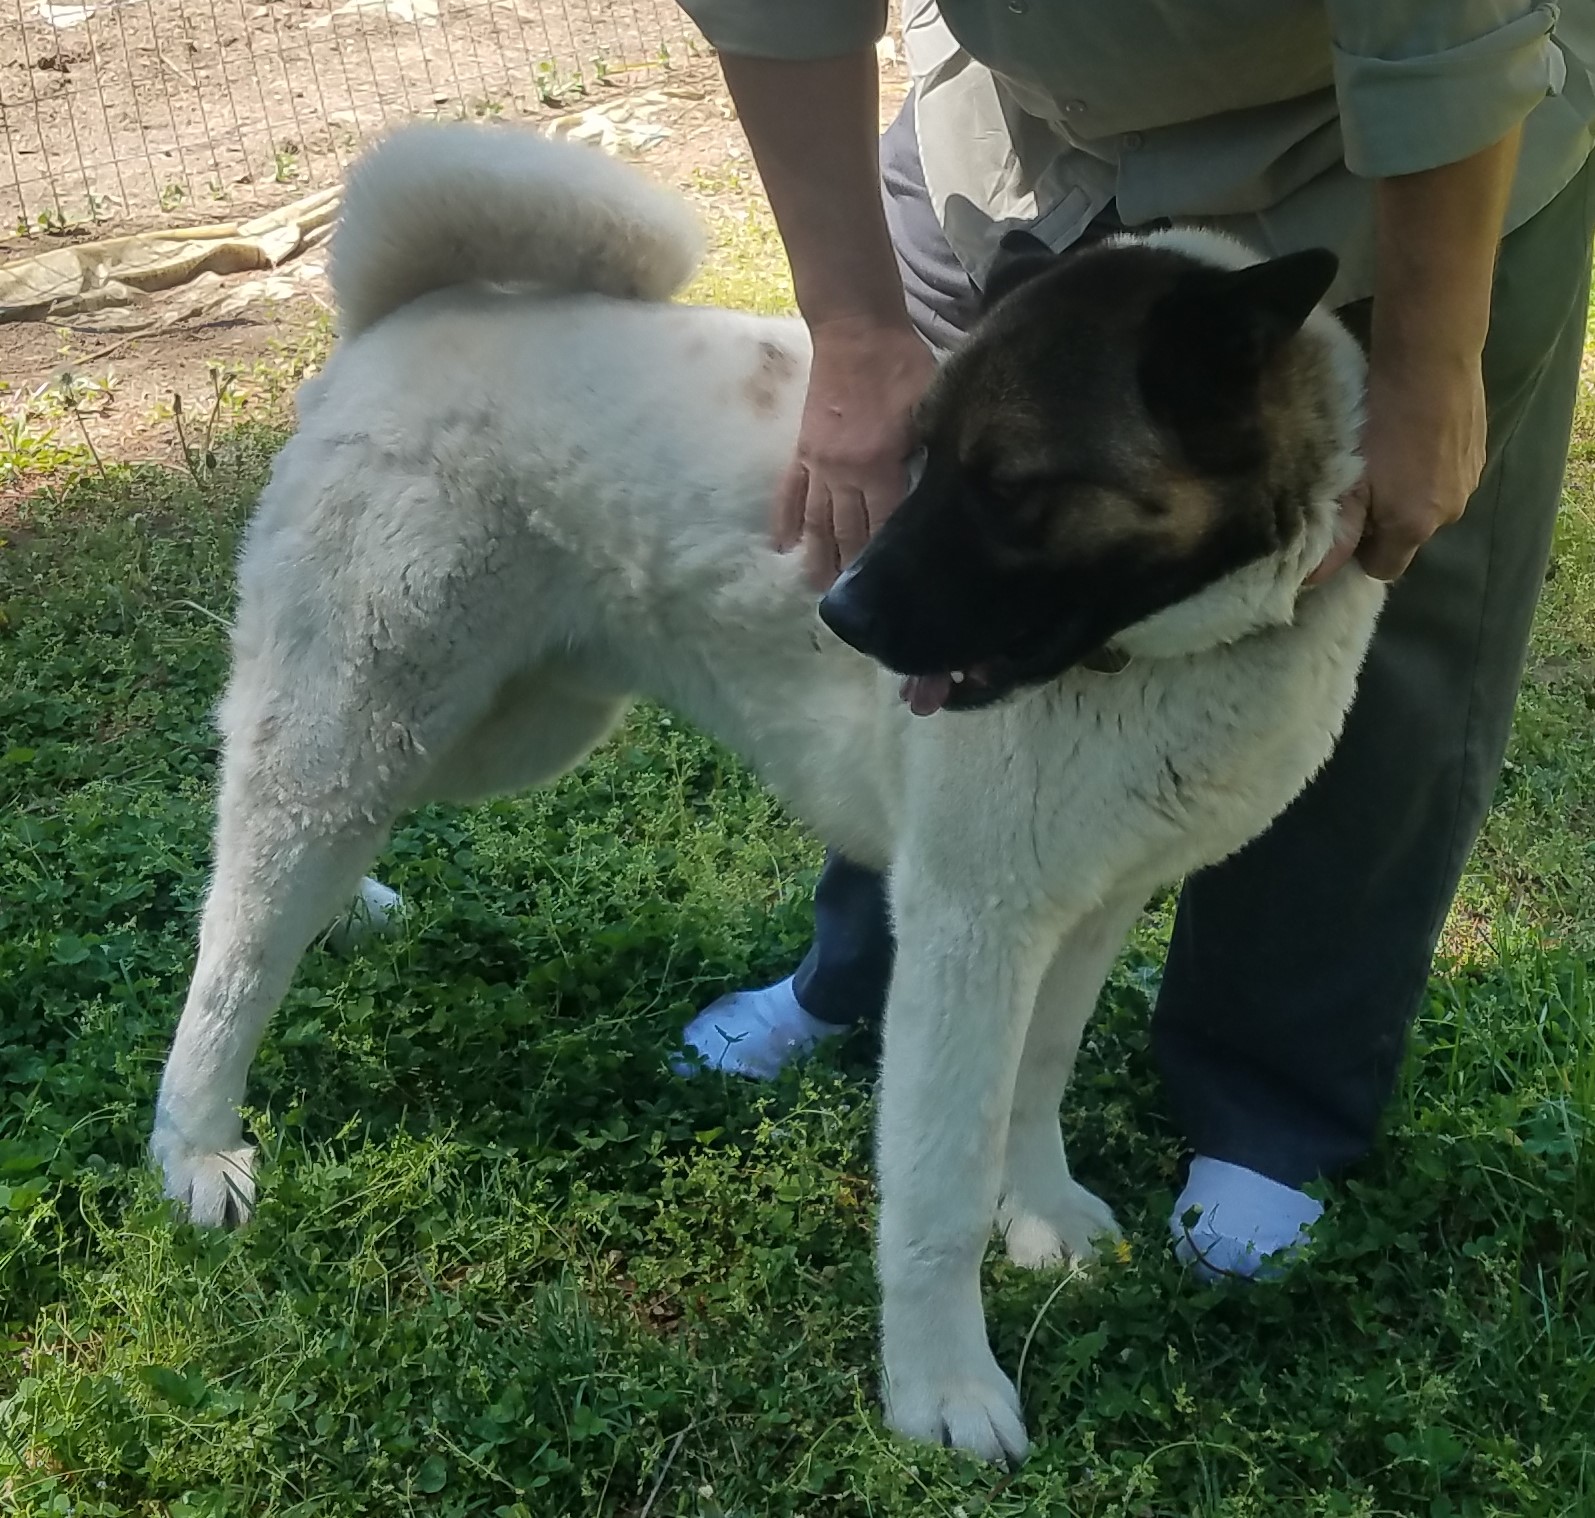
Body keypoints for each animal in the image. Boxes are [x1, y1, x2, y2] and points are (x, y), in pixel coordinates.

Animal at [149, 127, 1384, 1460]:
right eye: (920, 459)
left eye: (1009, 484)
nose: (840, 613)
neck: (1167, 652)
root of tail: (408, 310)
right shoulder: (967, 928)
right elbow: (937, 1189)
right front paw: (942, 1389)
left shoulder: (1085, 907)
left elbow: (1036, 1078)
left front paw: (1041, 1210)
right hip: (359, 713)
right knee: (237, 919)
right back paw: (196, 1143)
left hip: (502, 727)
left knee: (306, 846)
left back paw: (348, 911)